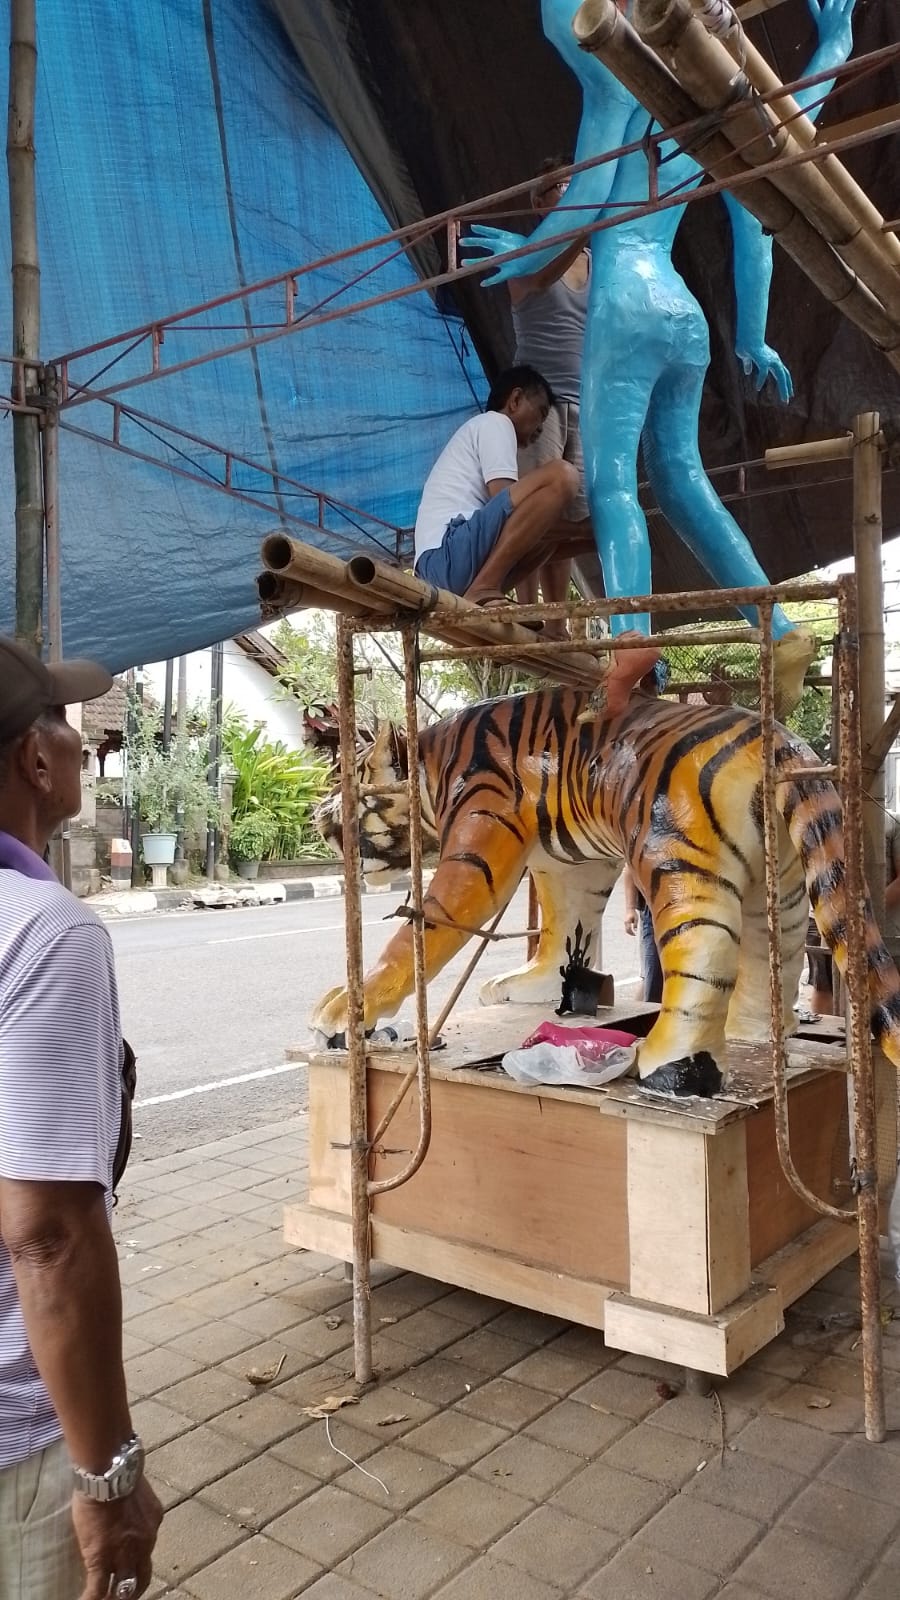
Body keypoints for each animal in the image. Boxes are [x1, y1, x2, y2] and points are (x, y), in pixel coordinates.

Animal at [307, 681, 896, 1094]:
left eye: (344, 781)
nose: (314, 814)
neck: (432, 769)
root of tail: (782, 741)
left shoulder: (478, 845)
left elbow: (416, 935)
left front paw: (345, 1012)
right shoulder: (566, 861)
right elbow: (564, 925)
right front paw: (530, 985)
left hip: (675, 855)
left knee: (703, 948)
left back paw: (672, 1068)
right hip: (781, 882)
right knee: (777, 949)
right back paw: (752, 1033)